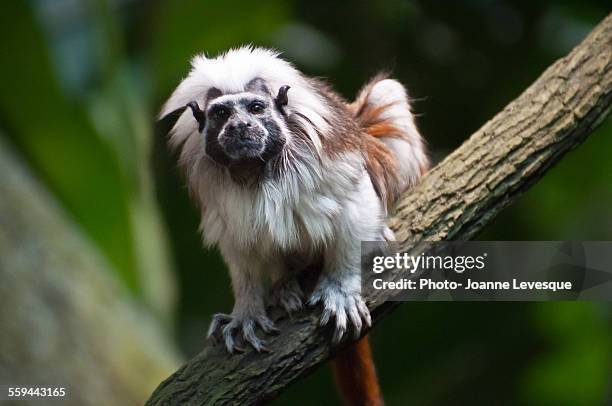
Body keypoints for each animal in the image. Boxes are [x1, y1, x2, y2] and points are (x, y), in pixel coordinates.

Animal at [160, 46, 430, 402]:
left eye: (256, 108)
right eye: (221, 114)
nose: (239, 125)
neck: (258, 170)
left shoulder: (332, 157)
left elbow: (354, 201)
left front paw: (341, 287)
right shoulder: (220, 199)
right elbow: (241, 248)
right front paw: (246, 310)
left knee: (387, 94)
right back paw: (286, 284)